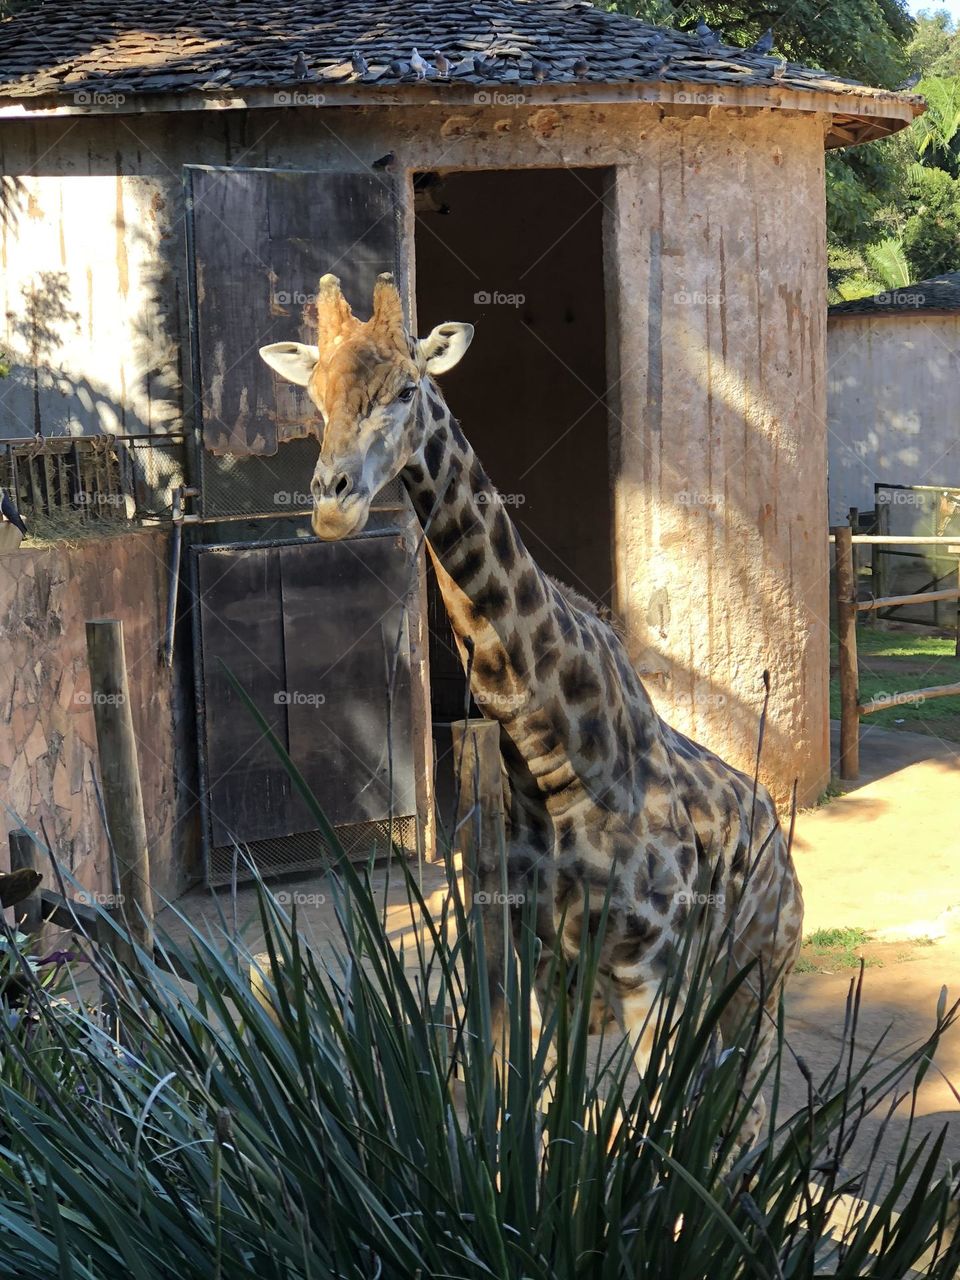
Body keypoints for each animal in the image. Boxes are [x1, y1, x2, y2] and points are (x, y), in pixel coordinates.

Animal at [261, 267, 803, 1141]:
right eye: (313, 394)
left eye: (407, 388)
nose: (331, 506)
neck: (551, 758)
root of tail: (781, 843)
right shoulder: (544, 962)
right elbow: (552, 1122)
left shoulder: (647, 969)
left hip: (755, 976)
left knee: (746, 1119)